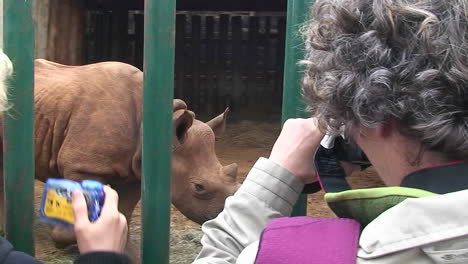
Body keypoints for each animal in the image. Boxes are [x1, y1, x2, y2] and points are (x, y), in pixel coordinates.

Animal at [0, 58, 238, 258]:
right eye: (199, 188)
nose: (227, 219)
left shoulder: (135, 171)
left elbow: (124, 212)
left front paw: (128, 253)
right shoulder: (82, 166)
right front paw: (61, 234)